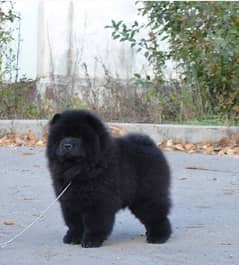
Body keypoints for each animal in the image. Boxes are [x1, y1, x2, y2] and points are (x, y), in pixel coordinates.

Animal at [45, 109, 171, 245]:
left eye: (78, 137)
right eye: (61, 137)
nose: (67, 145)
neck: (78, 170)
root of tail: (151, 145)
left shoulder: (99, 201)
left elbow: (95, 223)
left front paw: (91, 240)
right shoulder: (69, 201)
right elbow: (74, 223)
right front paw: (73, 238)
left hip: (147, 195)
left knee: (156, 216)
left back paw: (158, 236)